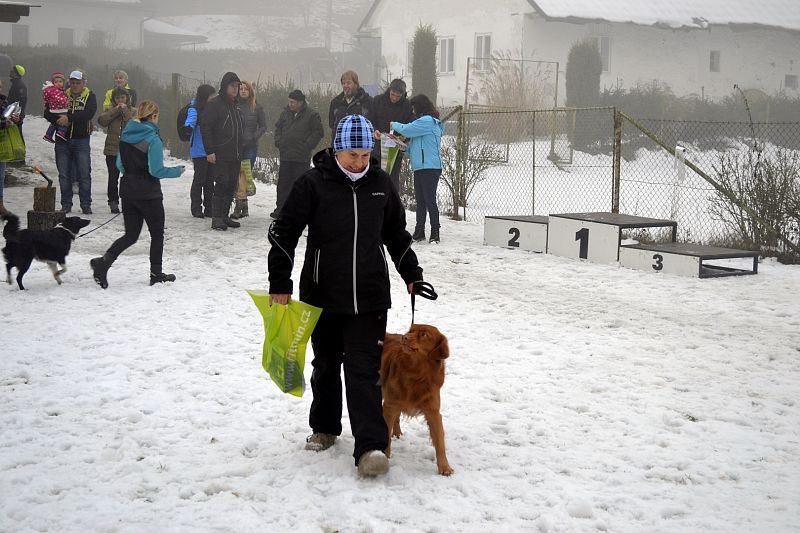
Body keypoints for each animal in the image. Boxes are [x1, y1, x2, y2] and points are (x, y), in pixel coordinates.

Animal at [380, 322, 454, 476]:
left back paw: (397, 433)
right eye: (410, 331)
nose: (404, 337)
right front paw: (385, 455)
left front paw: (444, 466)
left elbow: (440, 442)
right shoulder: (389, 406)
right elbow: (386, 435)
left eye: (424, 334)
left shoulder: (433, 412)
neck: (416, 374)